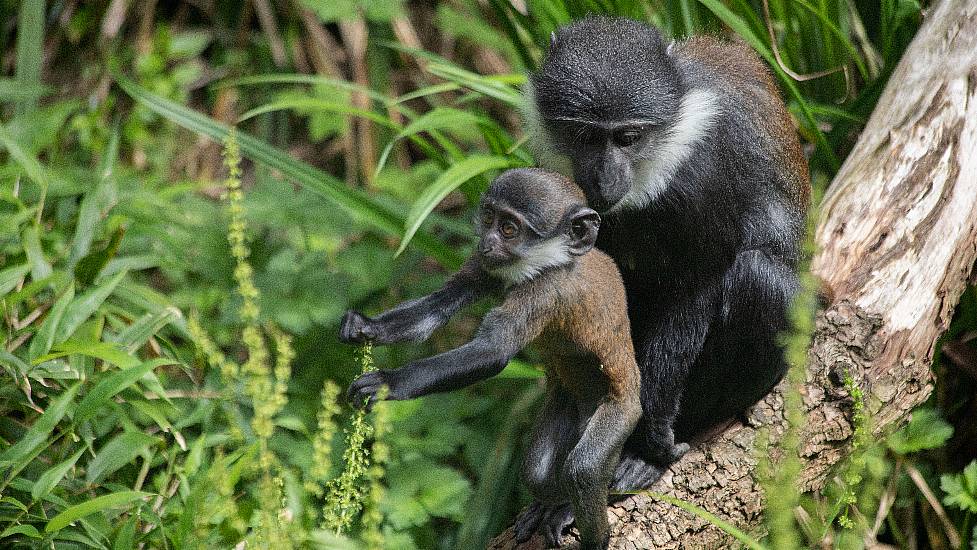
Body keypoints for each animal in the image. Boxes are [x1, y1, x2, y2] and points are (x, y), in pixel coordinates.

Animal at [342, 169, 640, 550]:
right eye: (488, 218)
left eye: (509, 228)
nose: (486, 242)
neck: (552, 263)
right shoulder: (485, 266)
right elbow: (438, 308)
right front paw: (365, 326)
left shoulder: (546, 291)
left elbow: (494, 352)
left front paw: (386, 383)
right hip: (563, 402)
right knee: (536, 471)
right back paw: (552, 501)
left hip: (621, 411)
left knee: (584, 470)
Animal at [516, 16, 812, 544]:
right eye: (584, 136)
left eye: (628, 137)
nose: (604, 176)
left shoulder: (707, 176)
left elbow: (695, 290)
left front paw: (643, 449)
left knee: (757, 277)